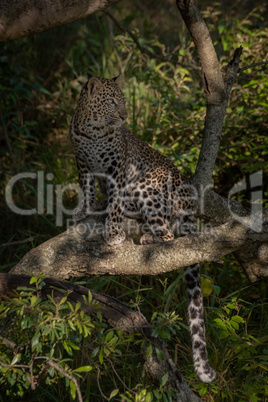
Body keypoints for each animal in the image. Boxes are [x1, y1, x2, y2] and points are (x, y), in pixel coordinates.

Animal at [70, 74, 217, 384]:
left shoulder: (117, 168)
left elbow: (114, 200)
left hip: (149, 188)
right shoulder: (83, 163)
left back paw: (149, 236)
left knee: (170, 236)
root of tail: (187, 198)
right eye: (112, 102)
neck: (92, 131)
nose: (125, 117)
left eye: (124, 101)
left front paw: (113, 232)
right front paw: (84, 209)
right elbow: (86, 188)